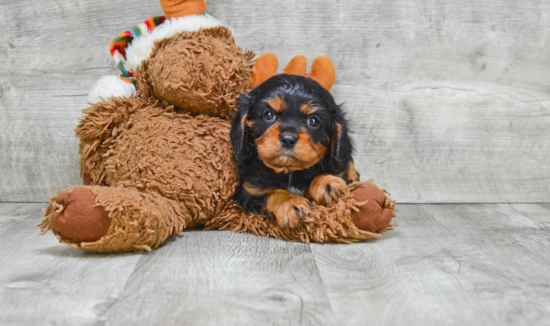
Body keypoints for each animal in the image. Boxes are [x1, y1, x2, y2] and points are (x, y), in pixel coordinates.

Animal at [231, 74, 360, 228]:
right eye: (269, 115)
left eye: (313, 121)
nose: (288, 139)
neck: (289, 172)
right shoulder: (248, 192)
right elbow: (270, 193)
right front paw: (289, 202)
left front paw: (326, 182)